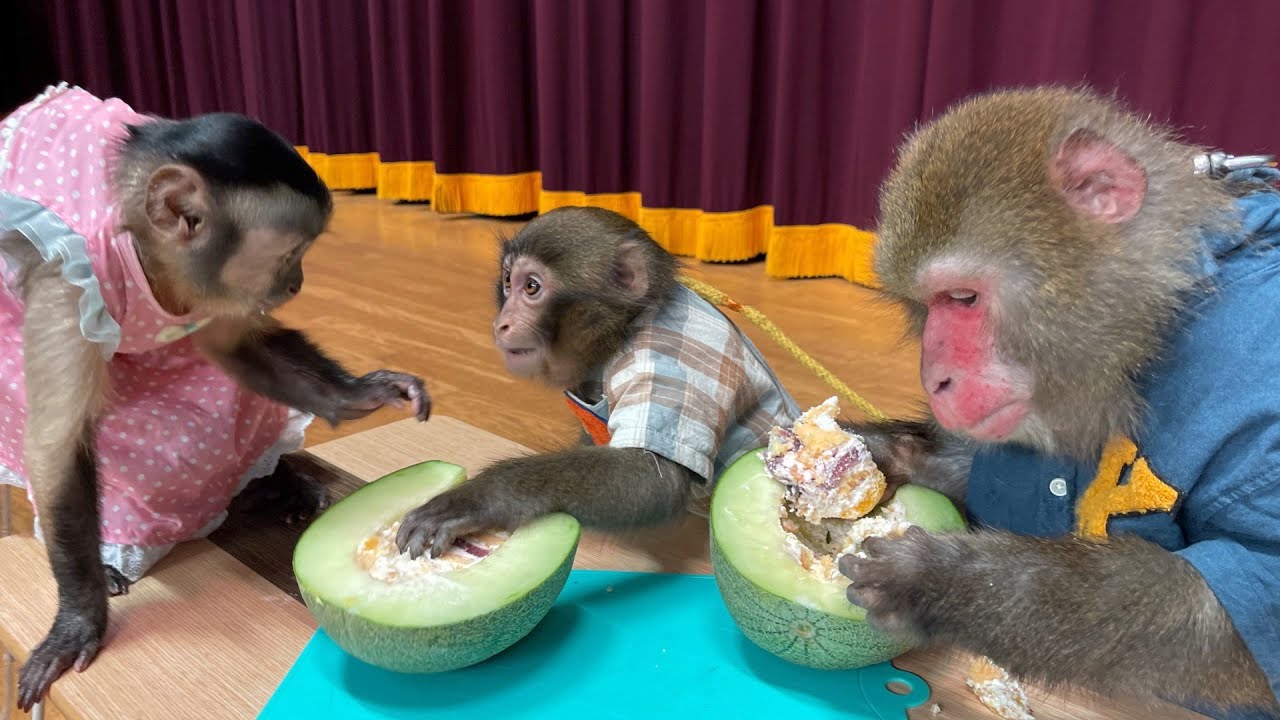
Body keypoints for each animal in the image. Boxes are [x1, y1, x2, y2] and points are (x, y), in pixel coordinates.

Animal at [0, 84, 431, 709]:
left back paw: (274, 483)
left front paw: (359, 396)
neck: (144, 252)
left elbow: (229, 341)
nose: (297, 283)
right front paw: (80, 618)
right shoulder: (65, 277)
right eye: (289, 254)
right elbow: (57, 445)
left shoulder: (208, 284)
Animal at [394, 206, 801, 560]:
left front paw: (478, 496)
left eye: (532, 287)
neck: (626, 327)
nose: (501, 323)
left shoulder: (664, 366)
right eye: (508, 282)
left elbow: (652, 478)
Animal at [833, 86, 1280, 719]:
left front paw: (938, 582)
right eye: (924, 306)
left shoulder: (1262, 420)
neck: (1169, 313)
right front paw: (883, 453)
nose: (935, 378)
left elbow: (1220, 618)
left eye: (963, 298)